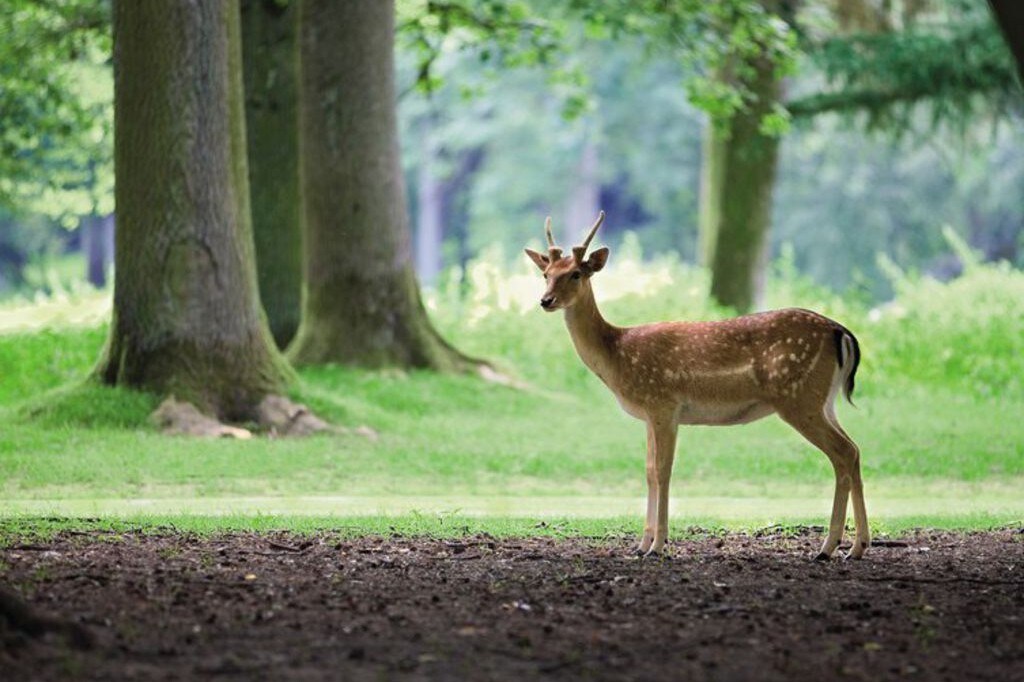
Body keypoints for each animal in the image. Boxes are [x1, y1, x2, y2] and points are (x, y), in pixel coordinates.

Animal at [528, 210, 872, 557]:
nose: (546, 300)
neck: (617, 354)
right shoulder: (649, 415)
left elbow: (663, 470)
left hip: (798, 398)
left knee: (843, 452)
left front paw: (658, 546)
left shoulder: (664, 403)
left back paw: (829, 547)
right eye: (545, 273)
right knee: (855, 450)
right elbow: (648, 471)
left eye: (575, 274)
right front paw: (641, 544)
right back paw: (857, 546)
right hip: (823, 400)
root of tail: (841, 332)